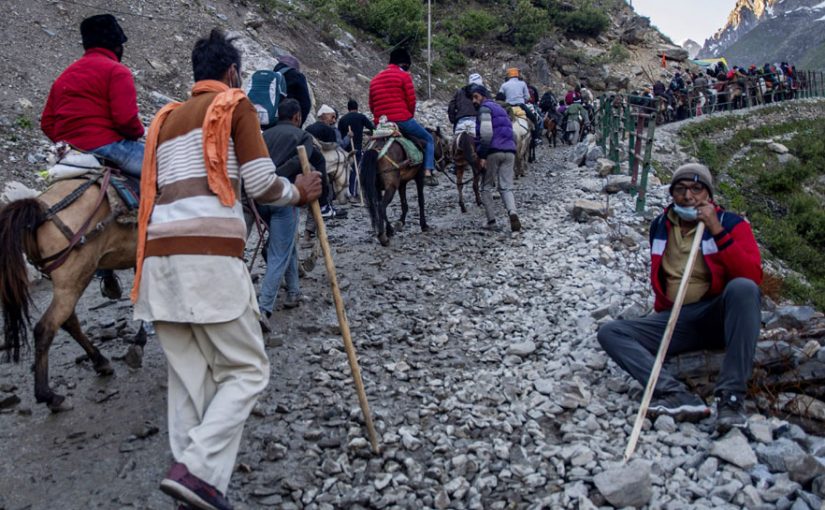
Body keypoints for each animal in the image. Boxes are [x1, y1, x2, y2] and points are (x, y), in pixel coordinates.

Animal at [0, 145, 145, 412]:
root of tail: (40, 209)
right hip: (74, 277)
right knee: (46, 327)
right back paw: (49, 395)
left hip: (69, 280)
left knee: (68, 321)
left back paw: (100, 361)